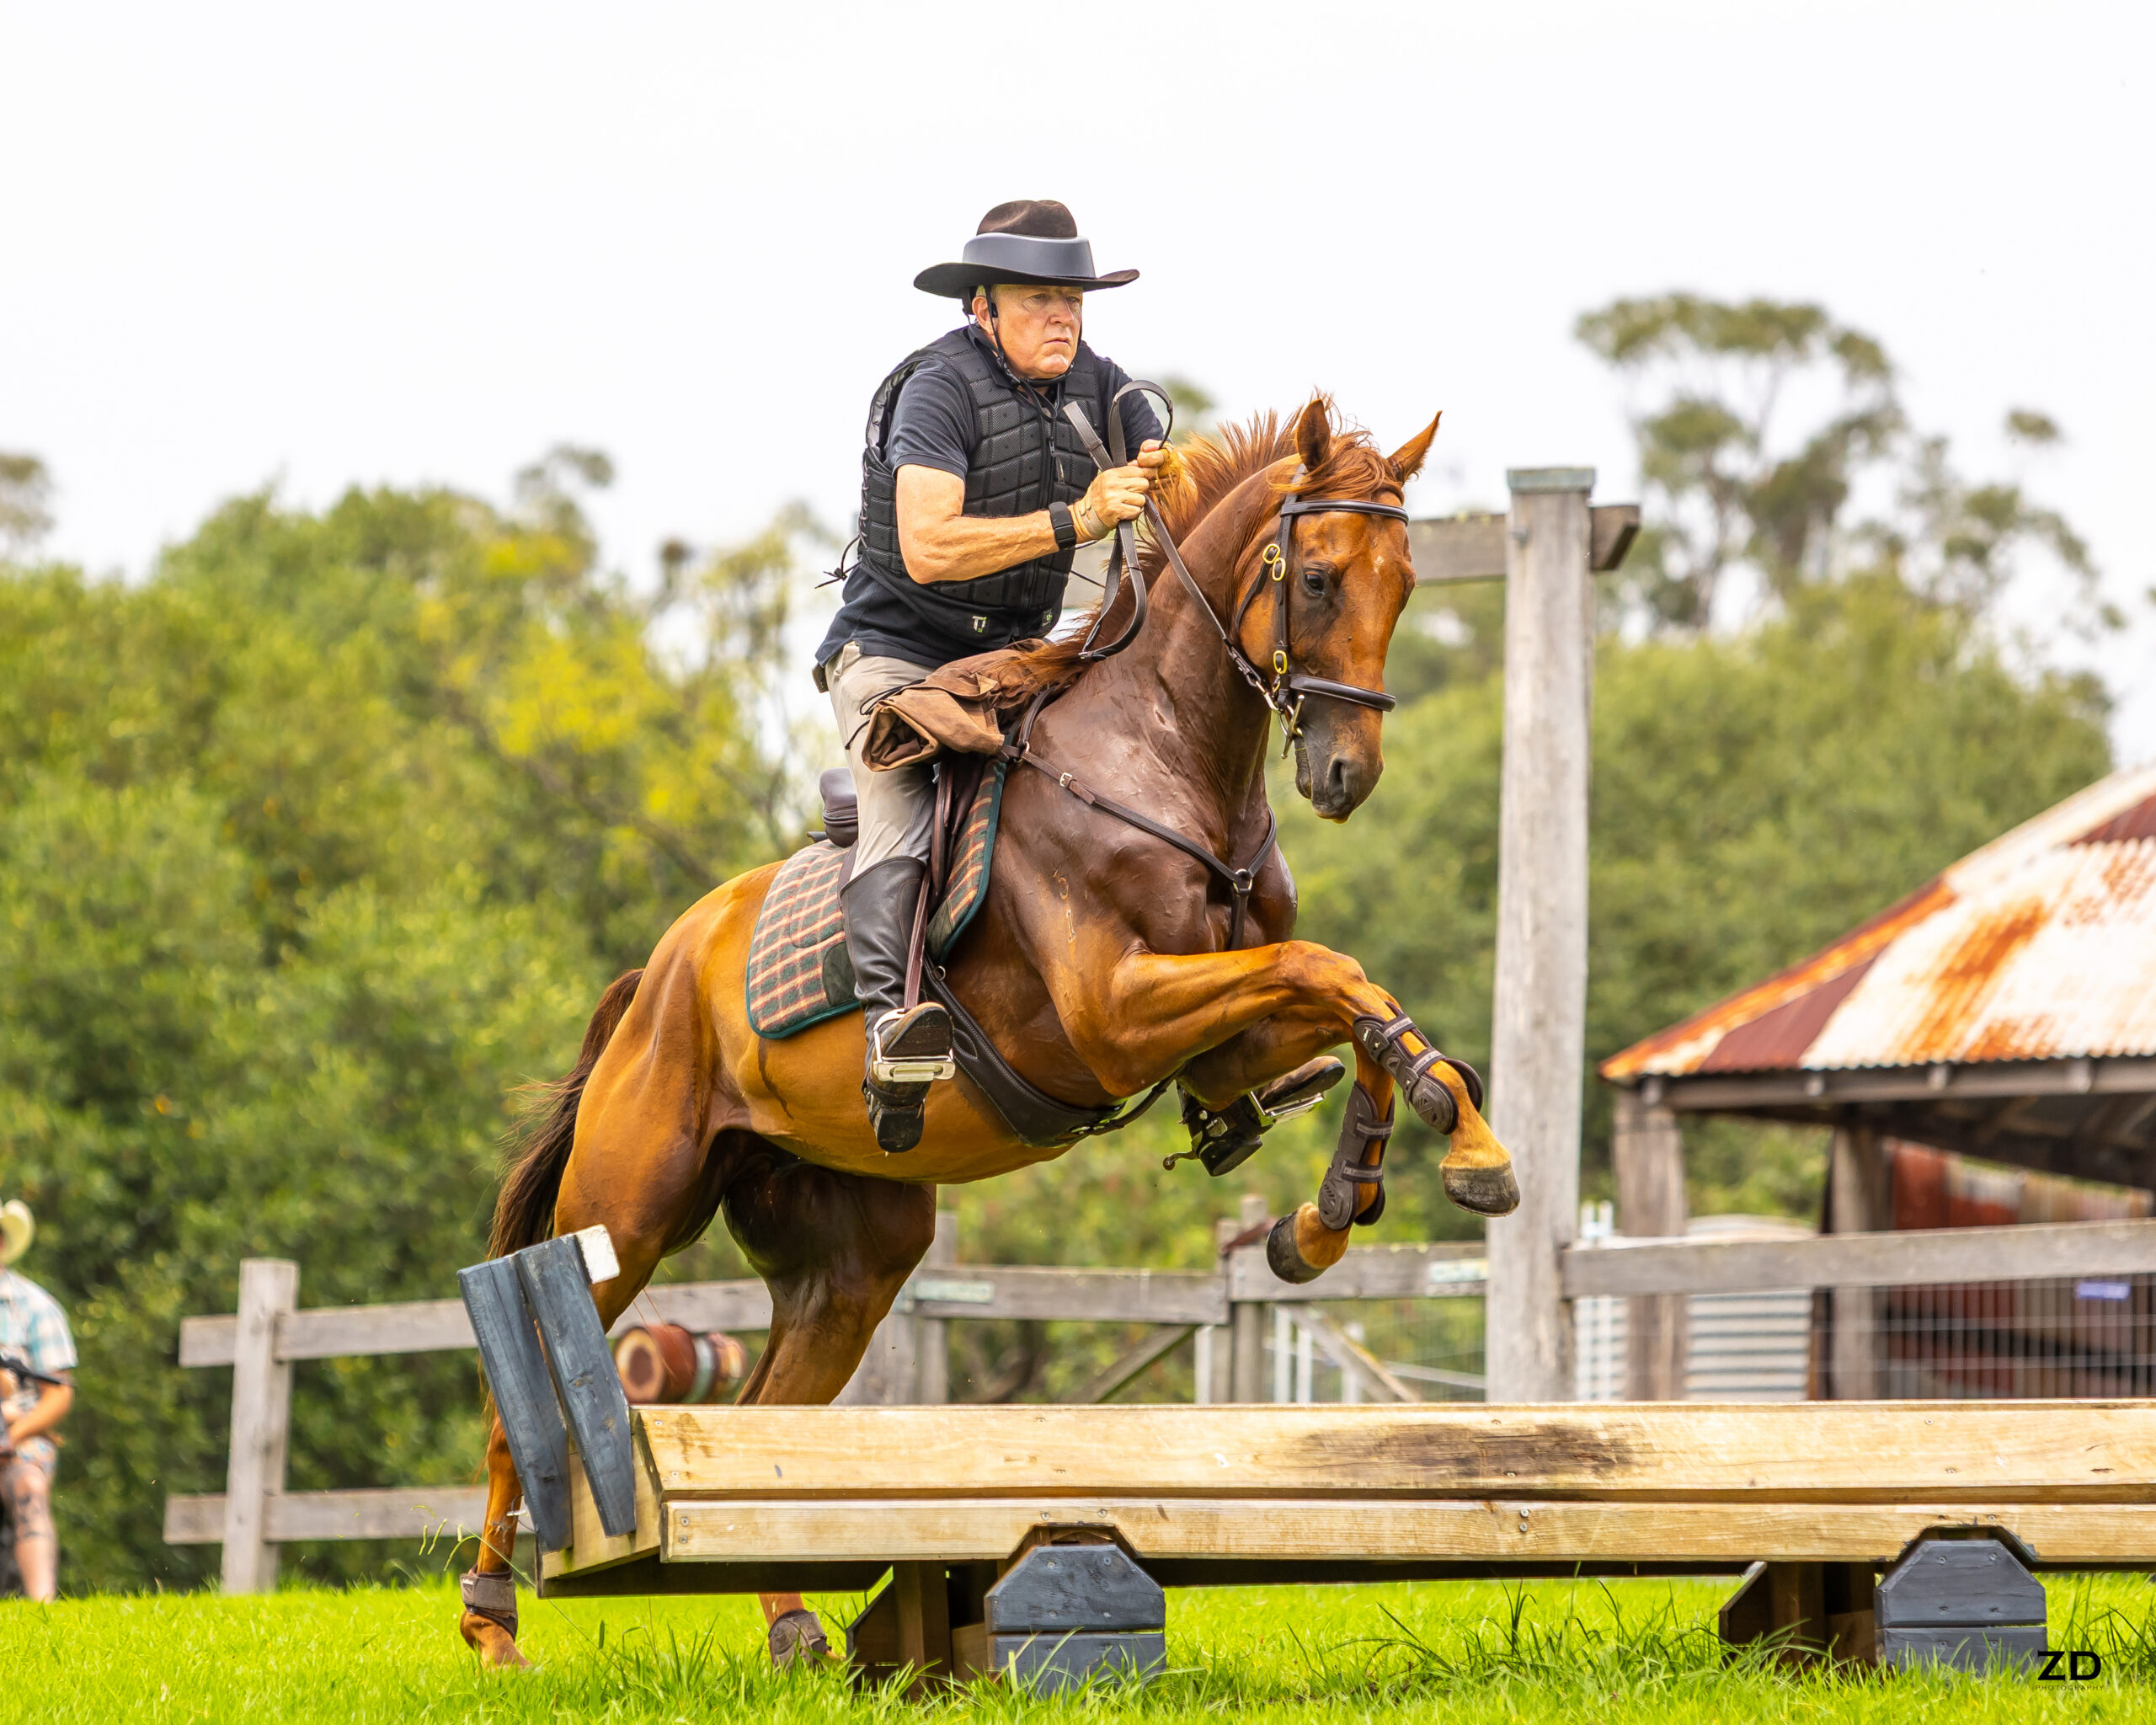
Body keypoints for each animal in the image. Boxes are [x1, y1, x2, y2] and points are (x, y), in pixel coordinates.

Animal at [457, 395, 1521, 1668]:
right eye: (1316, 579)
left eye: (1404, 583)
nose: (1346, 773)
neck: (1168, 760)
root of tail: (658, 972)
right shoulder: (1116, 1014)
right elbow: (1330, 969)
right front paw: (1441, 1148)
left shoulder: (1215, 1039)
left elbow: (1353, 1004)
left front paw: (1346, 1201)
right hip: (629, 1204)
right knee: (524, 1390)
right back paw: (491, 1623)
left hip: (852, 1257)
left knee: (768, 1419)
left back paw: (794, 1626)